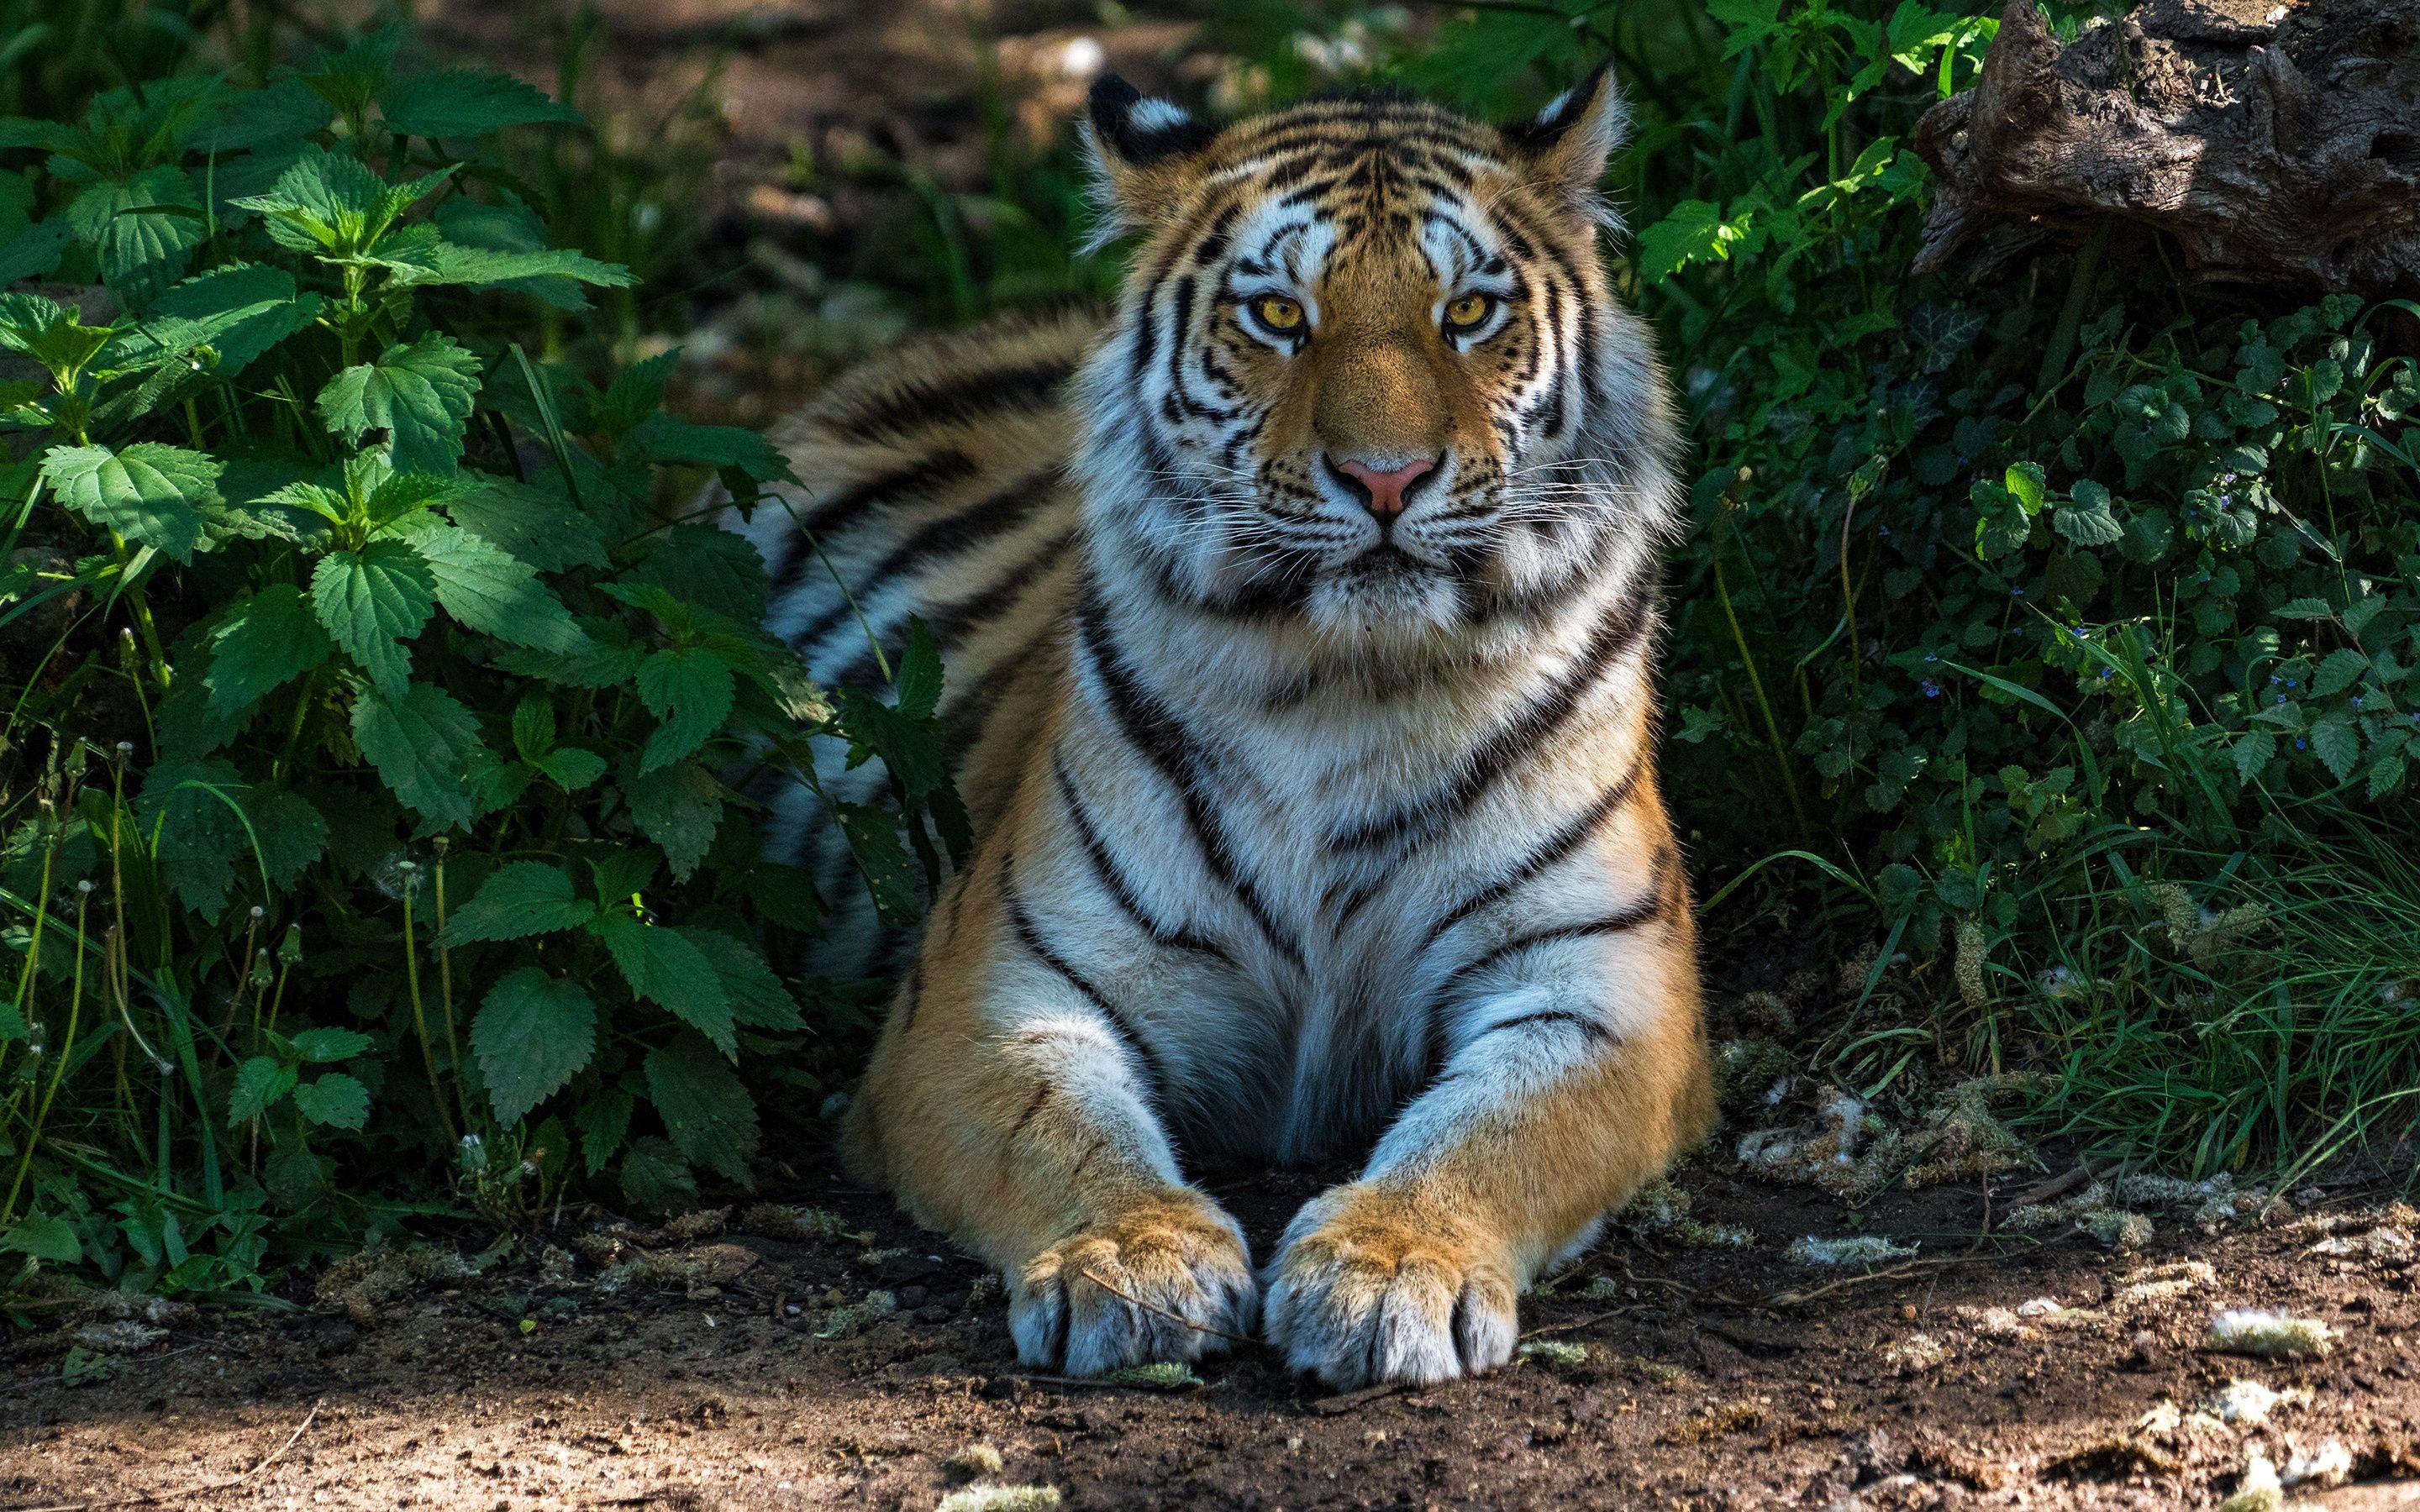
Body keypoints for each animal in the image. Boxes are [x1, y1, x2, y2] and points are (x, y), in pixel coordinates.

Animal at [729, 65, 1715, 1389]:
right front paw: (1132, 1260)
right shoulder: (993, 986)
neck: (1351, 690)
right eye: (1279, 316)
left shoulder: (1602, 983)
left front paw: (1392, 1267)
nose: (1388, 478)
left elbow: (1499, 1130)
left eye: (1467, 312)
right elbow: (1060, 1130)